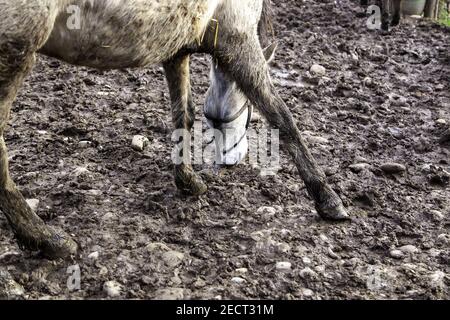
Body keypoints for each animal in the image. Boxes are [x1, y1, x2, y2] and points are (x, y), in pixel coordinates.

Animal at [0, 0, 348, 260]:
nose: (231, 159)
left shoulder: (177, 45)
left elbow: (183, 115)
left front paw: (188, 180)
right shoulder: (236, 37)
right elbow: (282, 117)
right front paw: (327, 198)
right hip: (16, 50)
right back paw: (47, 239)